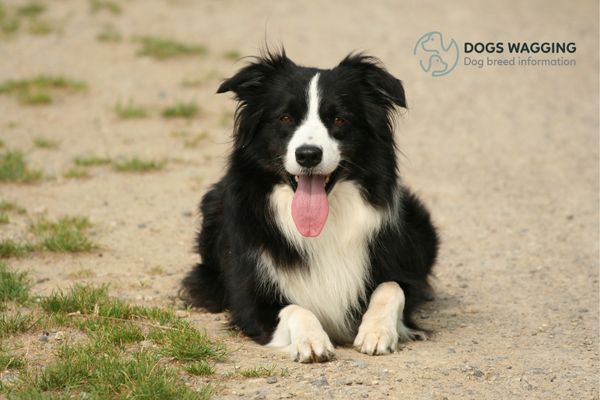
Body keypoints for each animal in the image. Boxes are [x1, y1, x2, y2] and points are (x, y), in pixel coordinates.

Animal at [180, 49, 438, 362]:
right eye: (285, 117)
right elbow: (294, 308)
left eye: (339, 119)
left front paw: (376, 332)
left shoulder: (401, 272)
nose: (308, 155)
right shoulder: (249, 299)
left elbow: (391, 287)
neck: (325, 225)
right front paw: (312, 340)